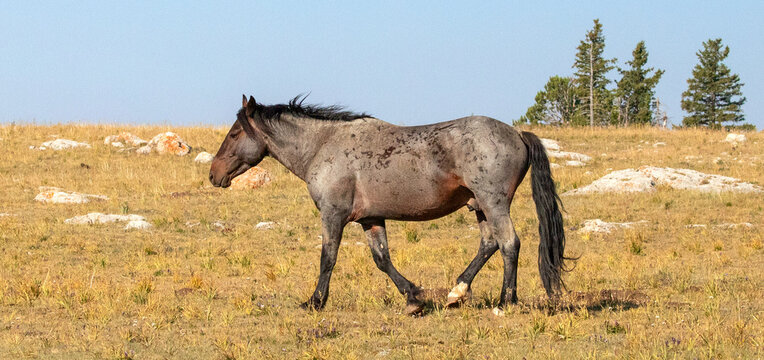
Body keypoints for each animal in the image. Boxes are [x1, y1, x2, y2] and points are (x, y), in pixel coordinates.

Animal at [210, 95, 572, 316]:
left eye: (234, 133)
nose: (214, 174)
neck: (323, 146)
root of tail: (519, 134)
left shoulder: (333, 215)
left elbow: (328, 258)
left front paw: (314, 302)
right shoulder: (370, 219)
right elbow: (382, 260)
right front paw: (413, 298)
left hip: (493, 203)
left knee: (509, 243)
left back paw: (505, 301)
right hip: (480, 207)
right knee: (489, 244)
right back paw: (456, 293)